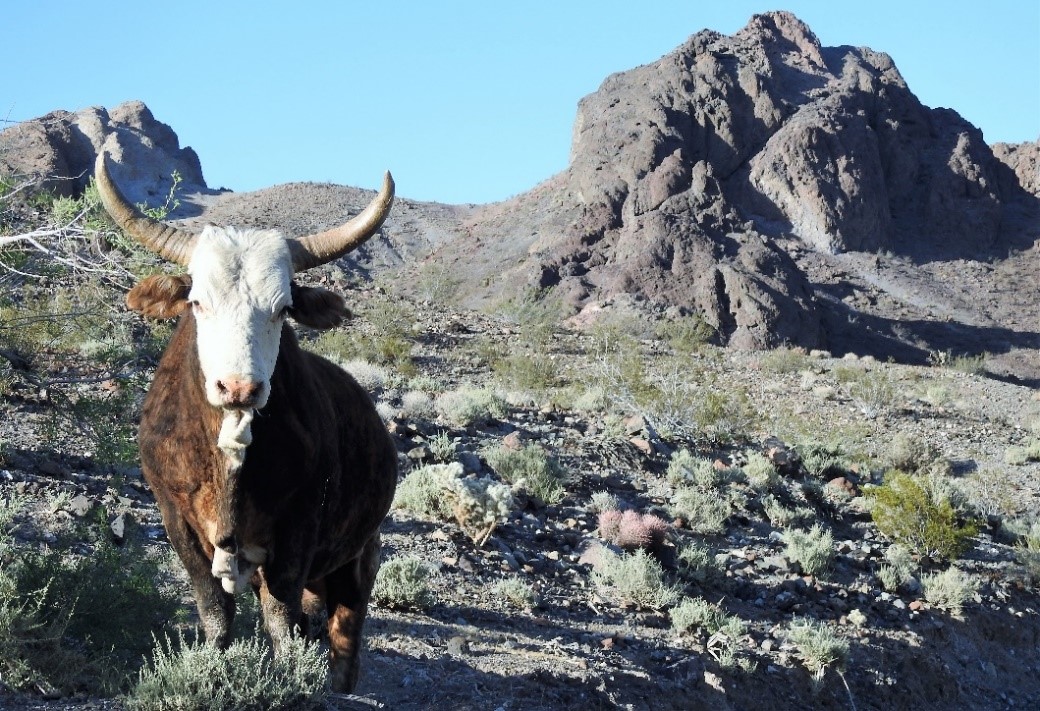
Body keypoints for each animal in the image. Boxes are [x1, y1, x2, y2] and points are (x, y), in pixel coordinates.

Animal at [94, 152, 397, 690]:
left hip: (360, 555)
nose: (238, 388)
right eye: (197, 301)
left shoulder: (297, 532)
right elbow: (215, 612)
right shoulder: (177, 521)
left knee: (346, 629)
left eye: (283, 308)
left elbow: (280, 618)